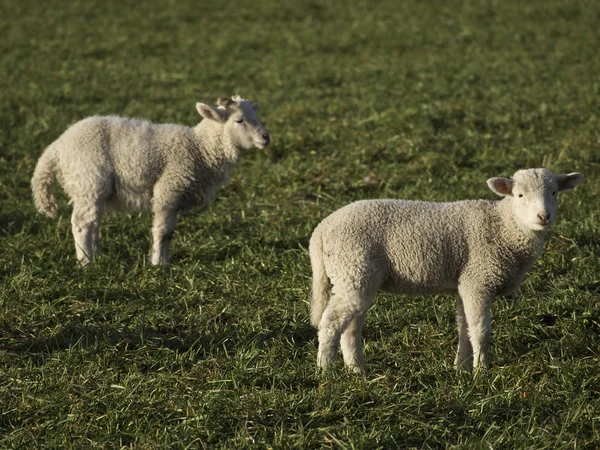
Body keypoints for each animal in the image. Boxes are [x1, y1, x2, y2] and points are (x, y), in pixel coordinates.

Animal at [30, 94, 270, 264]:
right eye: (239, 120)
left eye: (255, 117)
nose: (266, 137)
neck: (200, 148)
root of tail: (57, 148)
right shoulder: (169, 189)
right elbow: (163, 231)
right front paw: (159, 264)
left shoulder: (175, 196)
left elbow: (169, 232)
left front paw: (163, 260)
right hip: (89, 180)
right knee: (81, 224)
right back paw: (86, 263)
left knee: (92, 222)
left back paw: (95, 256)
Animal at [312, 169, 584, 372]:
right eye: (519, 195)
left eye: (554, 193)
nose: (543, 216)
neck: (503, 225)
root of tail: (321, 230)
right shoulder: (479, 280)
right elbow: (481, 332)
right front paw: (481, 372)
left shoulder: (466, 282)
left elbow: (465, 329)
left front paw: (461, 368)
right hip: (353, 268)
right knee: (330, 322)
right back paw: (325, 371)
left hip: (357, 278)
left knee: (350, 327)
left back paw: (357, 371)